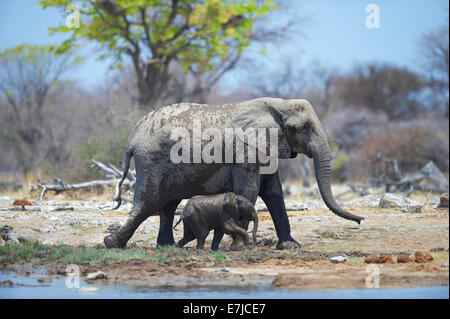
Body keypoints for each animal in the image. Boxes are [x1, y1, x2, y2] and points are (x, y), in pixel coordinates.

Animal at [104, 97, 362, 250]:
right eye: (302, 128)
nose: (360, 220)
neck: (277, 103)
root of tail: (132, 137)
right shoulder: (246, 151)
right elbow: (249, 191)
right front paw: (239, 246)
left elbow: (273, 192)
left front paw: (290, 247)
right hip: (151, 160)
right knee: (148, 203)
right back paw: (112, 243)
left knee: (167, 204)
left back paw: (167, 247)